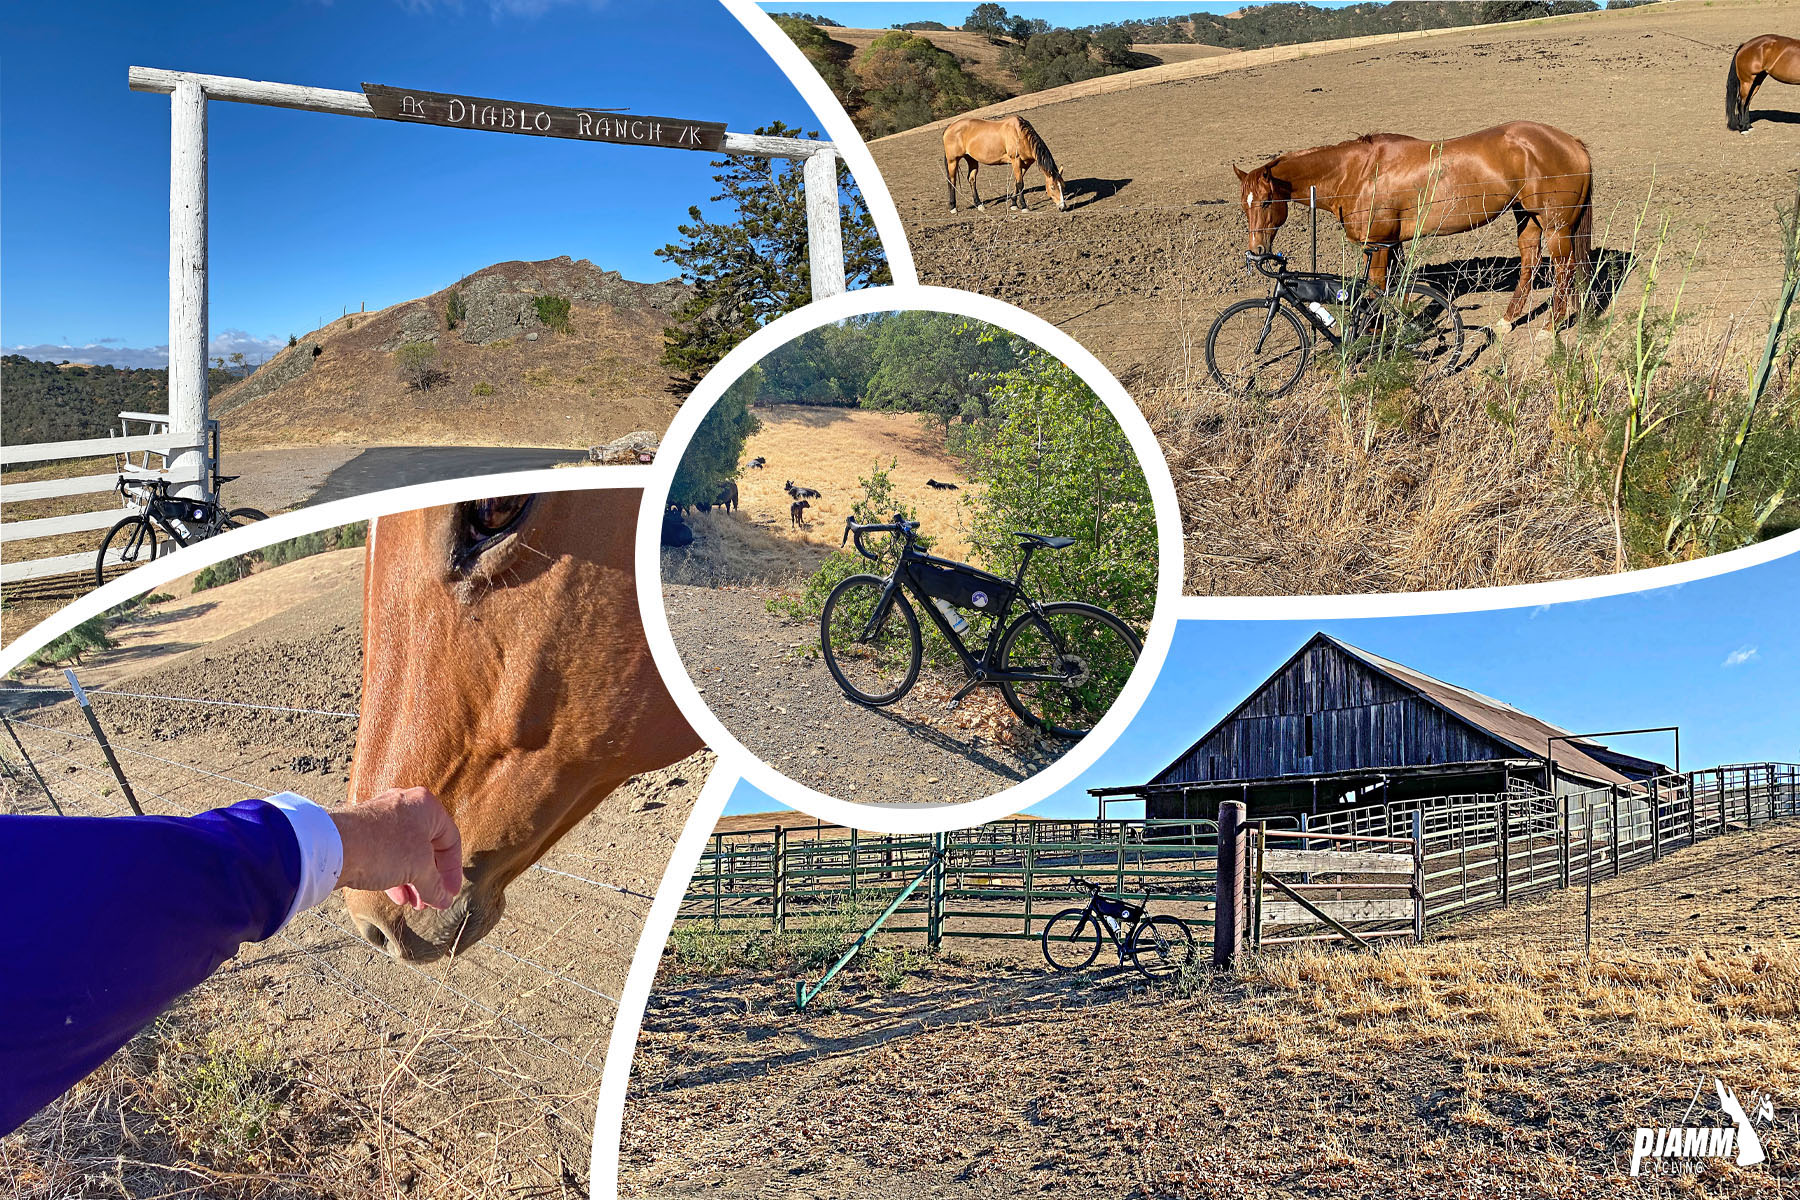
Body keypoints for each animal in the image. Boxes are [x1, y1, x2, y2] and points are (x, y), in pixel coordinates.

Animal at [1234, 120, 1593, 331]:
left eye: (1265, 202)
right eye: (1244, 205)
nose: (1256, 251)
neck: (1357, 173)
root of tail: (1571, 141)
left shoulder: (1378, 246)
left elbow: (1377, 289)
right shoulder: (1393, 245)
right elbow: (1396, 291)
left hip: (1556, 226)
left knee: (1564, 269)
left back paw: (1552, 326)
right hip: (1527, 217)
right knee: (1530, 264)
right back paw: (1508, 321)